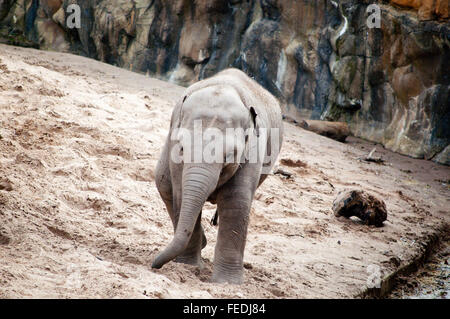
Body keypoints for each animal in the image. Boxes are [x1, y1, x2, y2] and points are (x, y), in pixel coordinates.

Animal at [153, 68, 284, 284]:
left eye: (229, 155)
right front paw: (188, 267)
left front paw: (227, 283)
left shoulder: (253, 150)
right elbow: (181, 194)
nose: (154, 265)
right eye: (182, 148)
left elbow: (236, 203)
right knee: (165, 186)